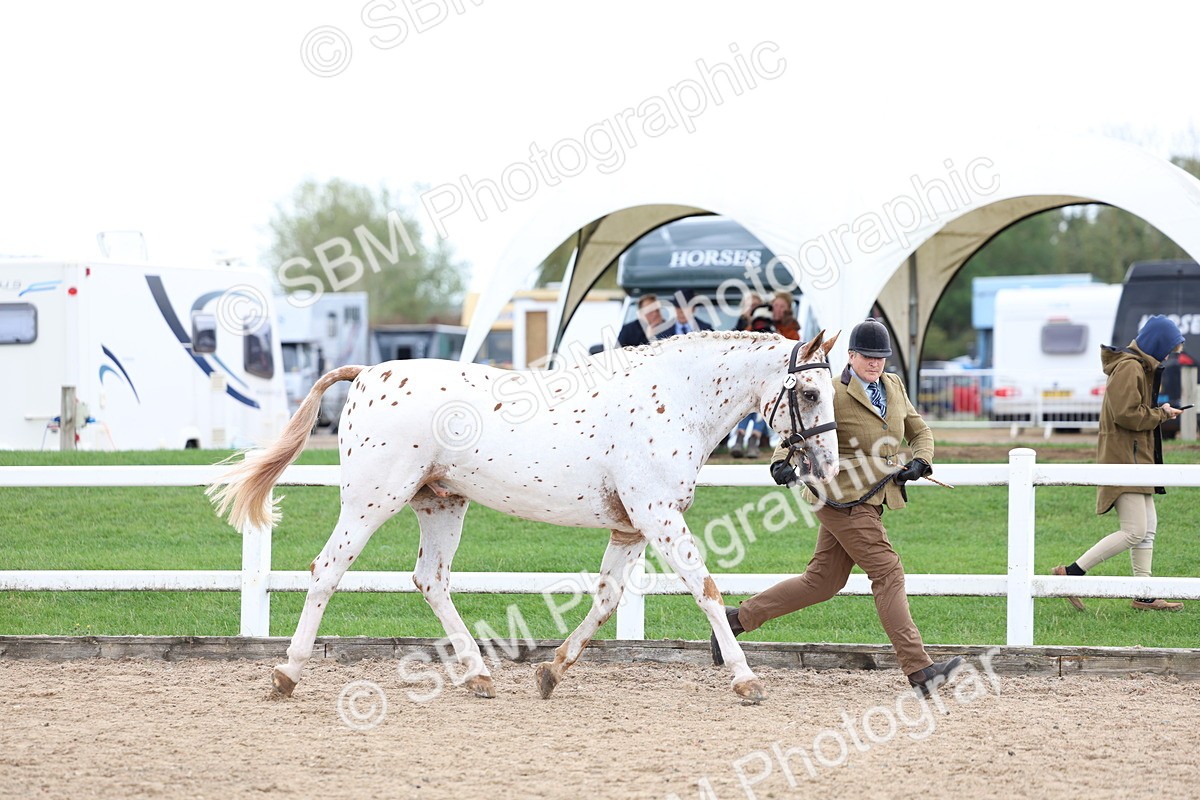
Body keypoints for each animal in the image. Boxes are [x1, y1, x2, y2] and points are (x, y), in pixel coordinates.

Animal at [207, 329, 841, 703]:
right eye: (809, 393)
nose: (828, 467)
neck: (674, 398)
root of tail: (363, 374)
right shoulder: (658, 515)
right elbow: (704, 587)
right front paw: (745, 679)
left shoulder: (630, 525)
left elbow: (608, 598)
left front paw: (552, 672)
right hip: (371, 500)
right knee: (327, 571)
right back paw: (287, 674)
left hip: (440, 501)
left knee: (430, 580)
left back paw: (479, 675)